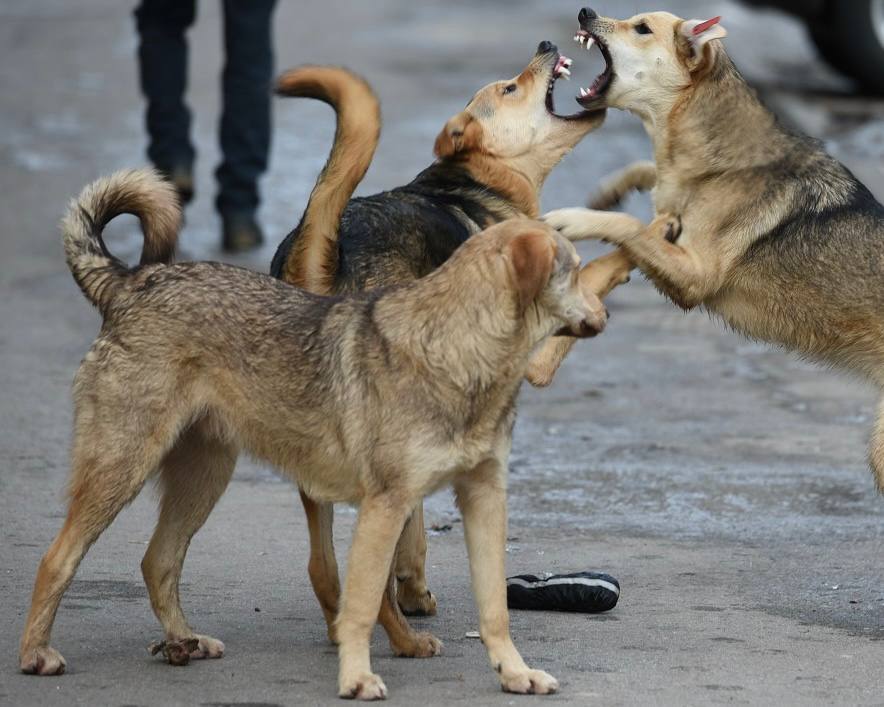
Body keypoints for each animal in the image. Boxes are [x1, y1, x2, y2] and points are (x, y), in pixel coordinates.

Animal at [15, 169, 620, 700]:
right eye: (574, 271)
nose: (606, 314)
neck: (458, 351)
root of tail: (131, 283)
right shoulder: (387, 504)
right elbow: (362, 605)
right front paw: (357, 678)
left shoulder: (483, 498)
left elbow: (492, 607)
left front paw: (514, 674)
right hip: (120, 472)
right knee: (57, 558)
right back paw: (36, 654)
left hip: (204, 478)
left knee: (157, 562)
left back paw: (182, 641)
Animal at [272, 42, 636, 652]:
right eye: (509, 88)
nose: (545, 45)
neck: (480, 179)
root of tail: (330, 251)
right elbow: (606, 264)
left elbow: (415, 520)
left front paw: (416, 586)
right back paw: (400, 639)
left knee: (323, 566)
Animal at [544, 6, 884, 492]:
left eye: (641, 28)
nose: (586, 11)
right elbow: (651, 181)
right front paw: (615, 188)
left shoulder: (697, 277)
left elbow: (630, 224)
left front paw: (574, 218)